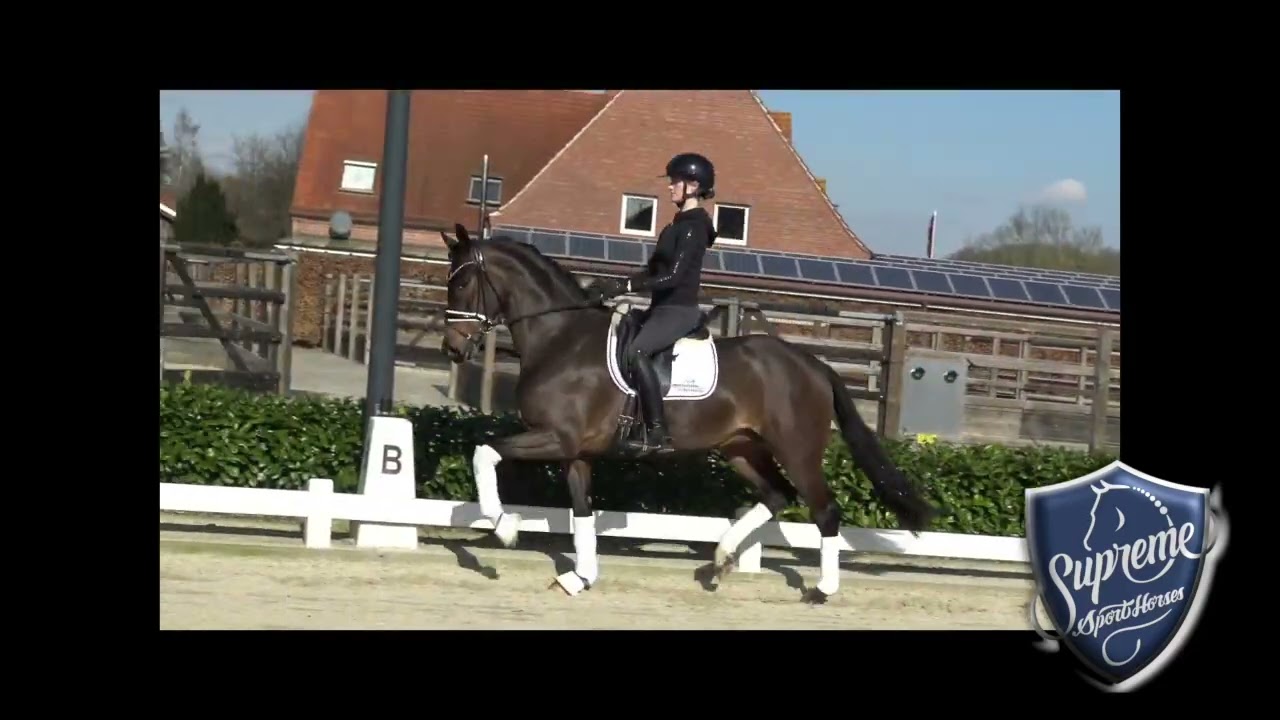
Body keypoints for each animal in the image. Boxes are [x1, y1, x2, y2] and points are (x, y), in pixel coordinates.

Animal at [438, 223, 938, 603]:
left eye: (461, 283)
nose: (453, 349)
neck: (561, 338)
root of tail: (812, 365)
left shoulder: (555, 437)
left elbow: (484, 452)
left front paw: (505, 528)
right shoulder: (575, 452)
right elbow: (582, 514)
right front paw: (579, 578)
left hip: (796, 449)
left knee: (824, 511)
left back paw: (821, 590)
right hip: (741, 448)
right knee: (777, 496)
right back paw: (720, 560)